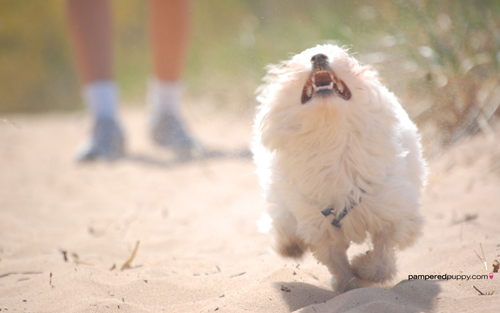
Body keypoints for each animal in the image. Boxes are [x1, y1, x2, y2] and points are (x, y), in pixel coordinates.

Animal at [252, 45, 428, 292]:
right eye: (300, 59)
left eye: (335, 53)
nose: (318, 56)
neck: (330, 131)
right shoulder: (320, 228)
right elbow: (336, 261)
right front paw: (349, 282)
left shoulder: (393, 210)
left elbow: (383, 254)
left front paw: (365, 269)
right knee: (282, 218)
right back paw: (289, 243)